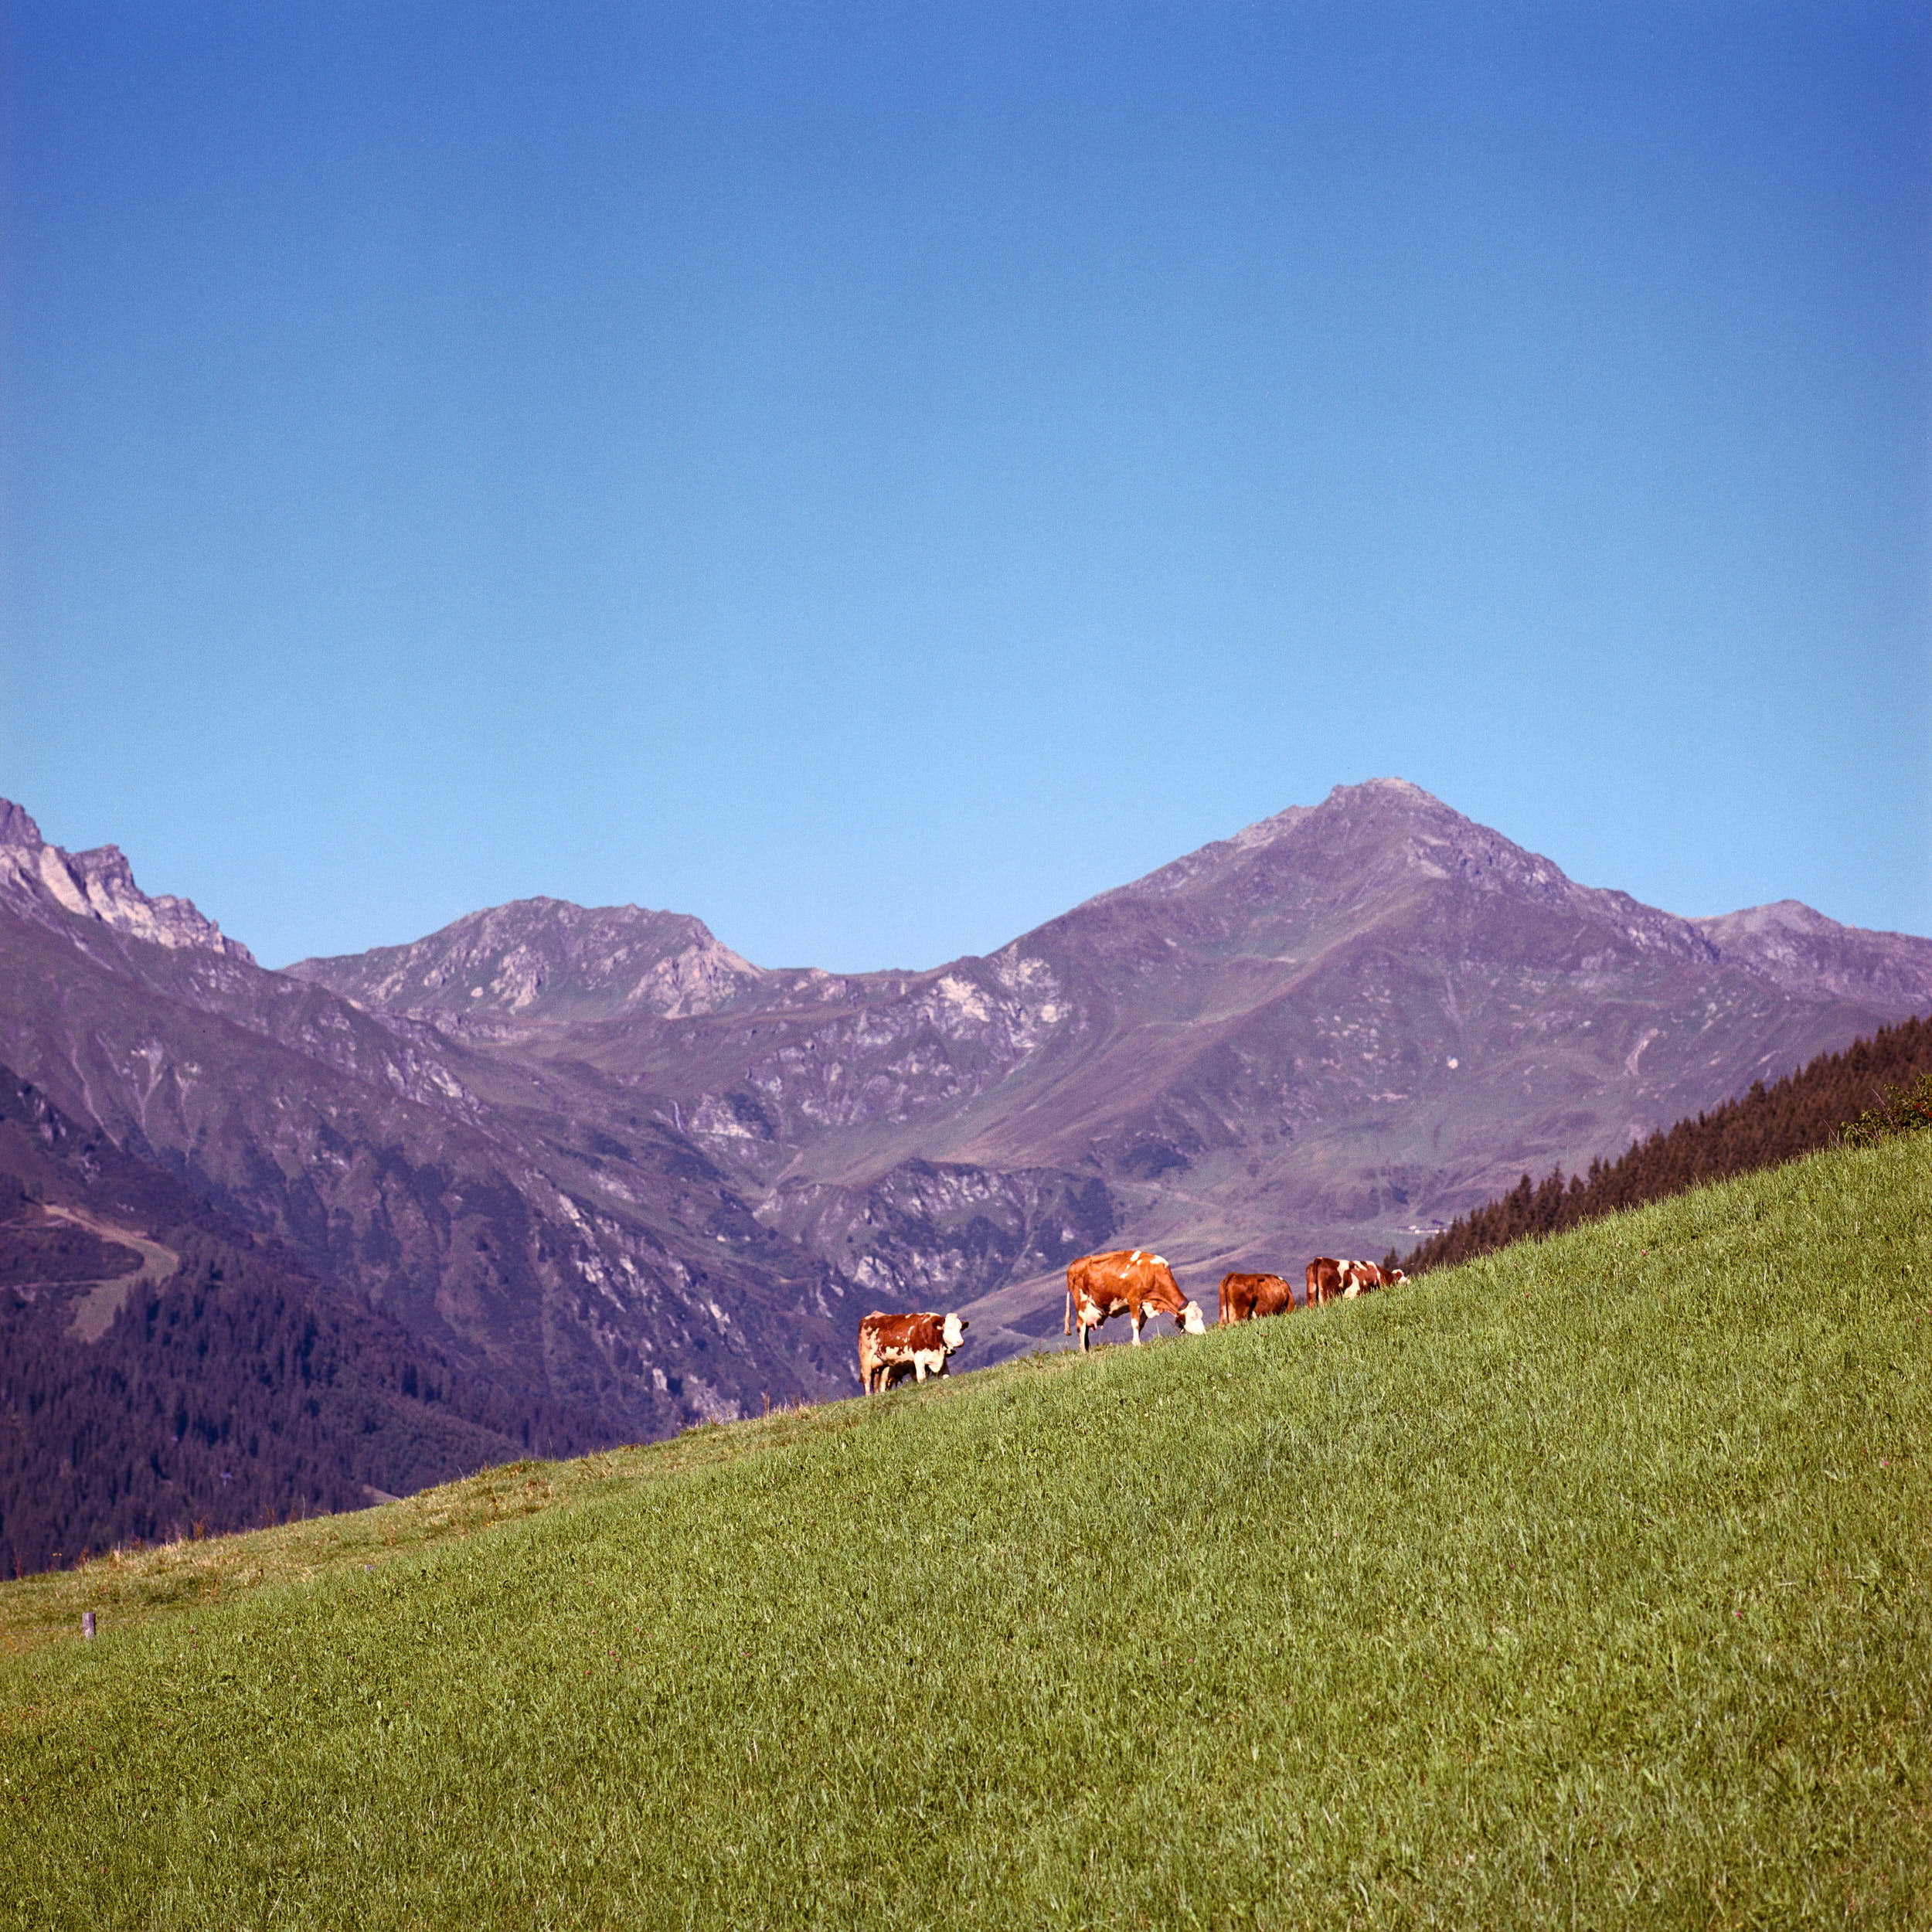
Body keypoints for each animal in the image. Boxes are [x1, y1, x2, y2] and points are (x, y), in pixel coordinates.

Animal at [858, 1314, 966, 1391]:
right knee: (867, 1379)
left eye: (960, 1328)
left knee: (878, 1383)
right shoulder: (919, 1357)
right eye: (949, 1328)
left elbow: (946, 1376)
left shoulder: (941, 1358)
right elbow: (921, 1377)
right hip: (865, 1357)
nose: (961, 1342)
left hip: (881, 1365)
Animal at [1059, 1244, 1206, 1352]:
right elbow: (1135, 1323)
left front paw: (1135, 1342)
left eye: (1201, 1316)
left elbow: (1140, 1324)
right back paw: (1084, 1352)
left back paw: (1088, 1349)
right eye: (1192, 1317)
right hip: (1081, 1304)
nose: (1204, 1334)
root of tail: (1075, 1264)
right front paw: (1137, 1344)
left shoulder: (1147, 1302)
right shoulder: (1133, 1299)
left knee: (1086, 1330)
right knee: (1081, 1327)